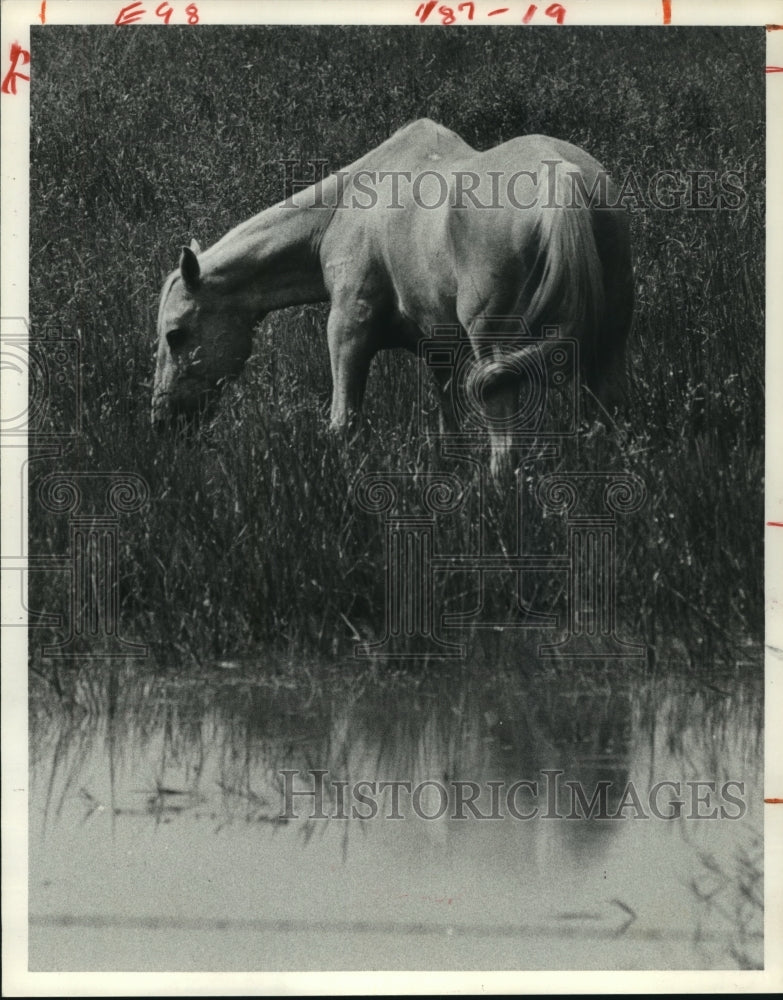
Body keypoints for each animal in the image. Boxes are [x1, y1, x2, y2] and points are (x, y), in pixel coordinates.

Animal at [151, 118, 633, 474]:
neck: (340, 212)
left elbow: (343, 419)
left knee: (505, 445)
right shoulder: (439, 347)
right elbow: (448, 419)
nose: (164, 420)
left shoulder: (348, 327)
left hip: (495, 349)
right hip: (606, 343)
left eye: (176, 334)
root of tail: (562, 179)